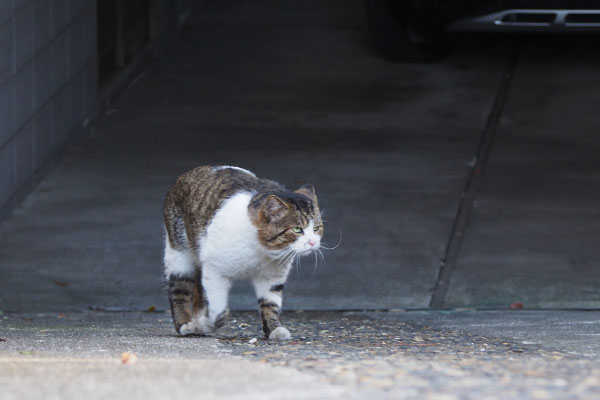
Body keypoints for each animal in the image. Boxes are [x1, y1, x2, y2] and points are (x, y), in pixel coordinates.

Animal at [162, 166, 324, 340]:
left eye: (316, 228)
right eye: (297, 229)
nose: (313, 242)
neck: (262, 250)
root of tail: (187, 173)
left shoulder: (272, 276)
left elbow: (270, 303)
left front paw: (274, 328)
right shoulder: (214, 270)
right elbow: (216, 306)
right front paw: (210, 322)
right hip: (179, 251)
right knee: (179, 288)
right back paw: (185, 324)